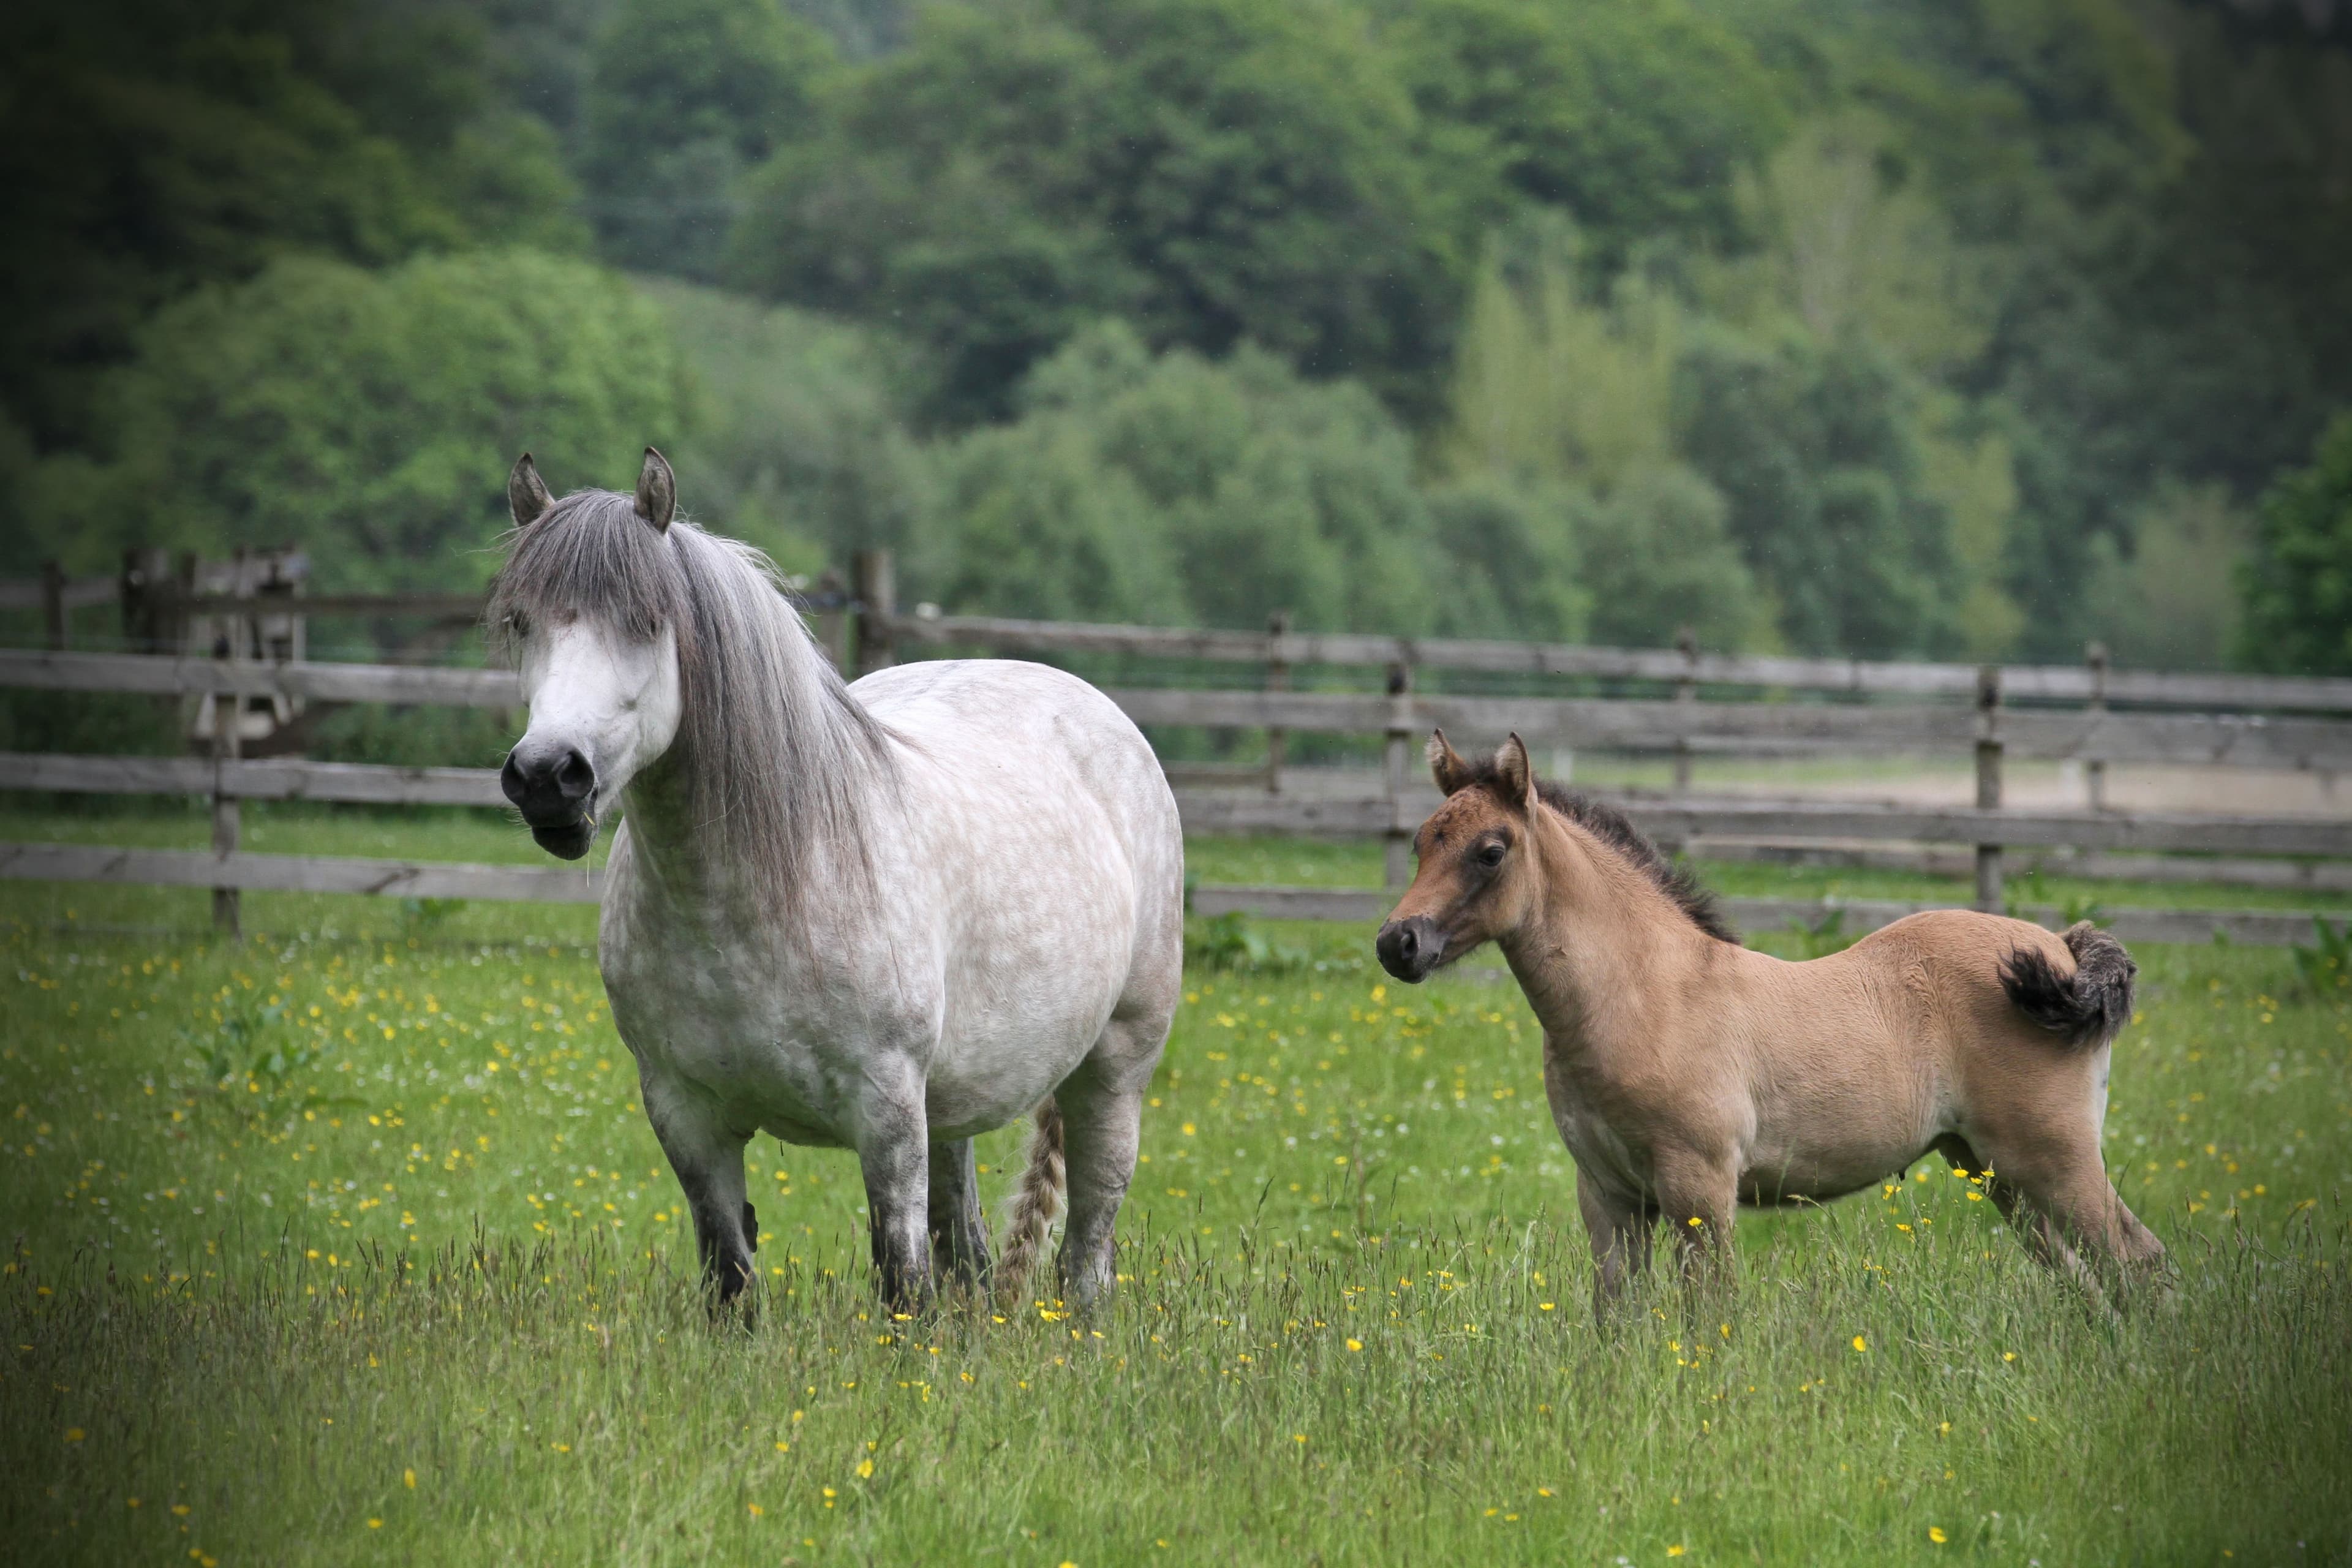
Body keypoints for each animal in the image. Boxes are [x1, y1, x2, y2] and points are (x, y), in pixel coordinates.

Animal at [489, 448, 1183, 1314]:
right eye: (522, 623)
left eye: (646, 621)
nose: (548, 776)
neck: (747, 902)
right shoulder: (685, 1116)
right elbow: (731, 1279)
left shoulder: (886, 1112)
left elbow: (902, 1281)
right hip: (951, 1102)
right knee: (969, 1245)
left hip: (1116, 1064)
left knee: (1089, 1238)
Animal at [1373, 732, 2166, 1318]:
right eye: (1420, 843)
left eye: (1491, 850)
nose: (1397, 944)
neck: (1644, 993)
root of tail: (2062, 949)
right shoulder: (1607, 1194)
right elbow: (1616, 1316)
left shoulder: (1699, 1188)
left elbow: (1710, 1314)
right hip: (1994, 1168)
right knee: (2084, 1274)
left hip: (2055, 1159)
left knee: (2139, 1260)